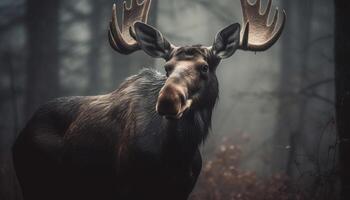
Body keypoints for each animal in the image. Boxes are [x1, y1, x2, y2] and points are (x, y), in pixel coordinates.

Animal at [13, 0, 284, 200]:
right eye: (166, 67)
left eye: (204, 67)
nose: (168, 100)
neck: (176, 155)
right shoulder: (126, 185)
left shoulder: (181, 190)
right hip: (33, 183)